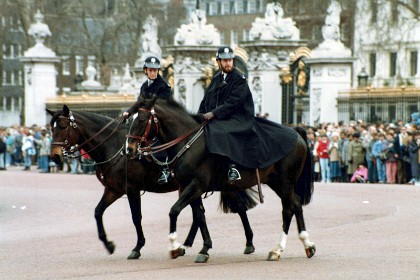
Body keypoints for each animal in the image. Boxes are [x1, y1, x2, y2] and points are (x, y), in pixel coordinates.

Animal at [48, 105, 258, 262]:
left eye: (63, 127)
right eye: (52, 127)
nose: (55, 157)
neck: (114, 146)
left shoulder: (131, 189)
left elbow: (136, 217)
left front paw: (137, 246)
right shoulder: (113, 189)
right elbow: (98, 212)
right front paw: (108, 244)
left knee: (238, 208)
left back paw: (247, 243)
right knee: (201, 213)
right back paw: (187, 244)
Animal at [126, 98, 316, 262]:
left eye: (141, 120)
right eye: (129, 119)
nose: (129, 149)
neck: (189, 144)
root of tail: (296, 132)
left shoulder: (196, 185)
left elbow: (174, 211)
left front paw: (174, 246)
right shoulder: (189, 187)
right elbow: (199, 215)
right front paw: (204, 248)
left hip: (285, 182)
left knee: (287, 210)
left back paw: (277, 249)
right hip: (276, 182)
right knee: (296, 204)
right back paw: (307, 244)